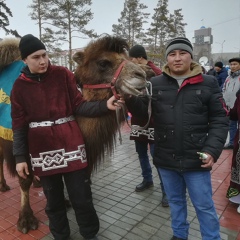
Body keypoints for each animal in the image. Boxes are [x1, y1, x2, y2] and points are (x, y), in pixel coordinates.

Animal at [0, 35, 147, 234]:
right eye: (103, 62)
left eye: (127, 58)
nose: (142, 75)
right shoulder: (18, 144)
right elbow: (24, 180)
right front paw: (26, 220)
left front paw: (64, 200)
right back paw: (4, 185)